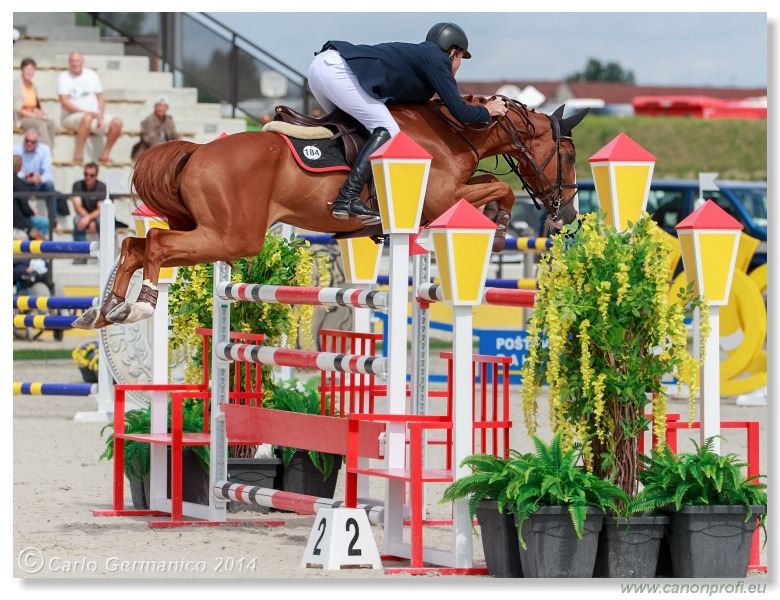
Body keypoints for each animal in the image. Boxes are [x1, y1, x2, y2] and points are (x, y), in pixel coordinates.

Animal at [74, 99, 584, 332]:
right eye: (568, 154)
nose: (570, 212)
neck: (452, 132)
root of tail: (197, 152)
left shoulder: (447, 195)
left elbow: (489, 182)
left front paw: (495, 222)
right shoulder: (438, 200)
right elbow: (499, 186)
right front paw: (497, 227)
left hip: (207, 230)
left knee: (134, 244)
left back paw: (104, 310)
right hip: (233, 237)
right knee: (156, 245)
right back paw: (139, 306)